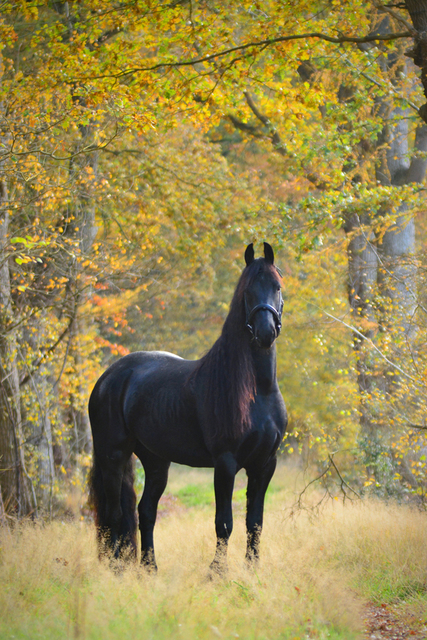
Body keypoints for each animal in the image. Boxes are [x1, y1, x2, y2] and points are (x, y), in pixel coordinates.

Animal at [88, 242, 288, 572]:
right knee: (115, 514)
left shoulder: (265, 464)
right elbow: (224, 523)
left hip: (156, 461)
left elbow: (255, 522)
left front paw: (252, 570)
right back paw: (117, 568)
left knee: (145, 512)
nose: (265, 332)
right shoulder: (225, 462)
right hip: (113, 455)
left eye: (277, 287)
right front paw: (217, 572)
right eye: (247, 290)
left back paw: (149, 569)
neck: (258, 391)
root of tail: (108, 378)